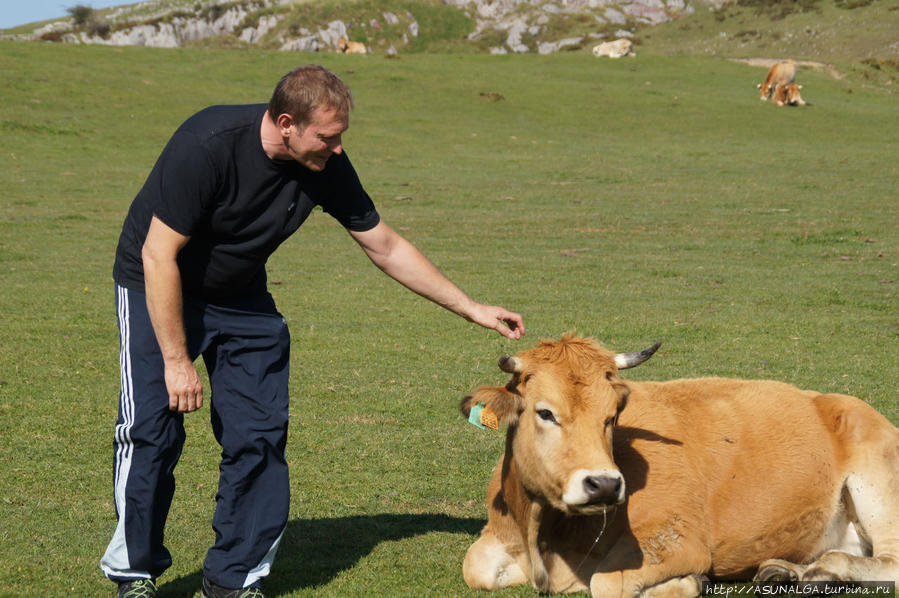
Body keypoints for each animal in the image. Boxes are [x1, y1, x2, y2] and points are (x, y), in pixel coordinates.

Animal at [460, 336, 899, 596]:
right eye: (545, 412)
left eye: (611, 416)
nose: (604, 485)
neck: (547, 537)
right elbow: (474, 567)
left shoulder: (677, 540)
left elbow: (608, 583)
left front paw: (691, 582)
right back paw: (785, 571)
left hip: (878, 485)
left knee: (889, 561)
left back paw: (825, 569)